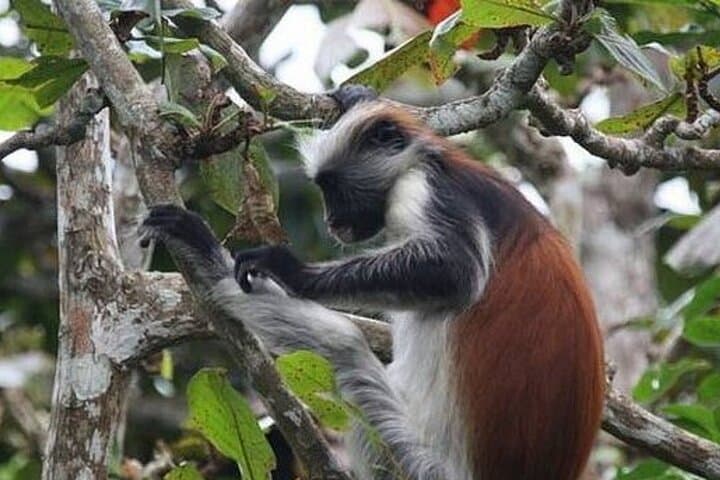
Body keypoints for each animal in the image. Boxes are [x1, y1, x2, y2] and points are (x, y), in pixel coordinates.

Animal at [140, 85, 605, 480]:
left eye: (333, 187)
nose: (331, 221)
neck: (435, 161)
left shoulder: (424, 189)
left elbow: (455, 270)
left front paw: (292, 272)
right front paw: (357, 97)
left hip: (417, 465)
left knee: (344, 349)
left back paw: (210, 262)